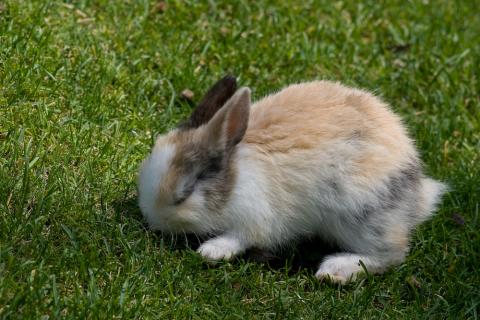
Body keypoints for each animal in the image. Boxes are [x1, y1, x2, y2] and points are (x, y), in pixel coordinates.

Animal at [137, 76, 444, 284]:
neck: (235, 177)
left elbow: (240, 237)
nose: (153, 221)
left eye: (184, 193)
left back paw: (335, 270)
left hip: (361, 217)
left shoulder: (257, 219)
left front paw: (211, 251)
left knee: (390, 254)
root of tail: (418, 195)